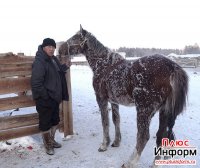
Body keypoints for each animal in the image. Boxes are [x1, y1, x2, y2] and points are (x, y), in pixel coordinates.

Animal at [58, 25, 188, 167]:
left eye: (74, 38)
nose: (60, 50)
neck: (104, 65)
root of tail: (172, 67)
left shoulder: (101, 99)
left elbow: (105, 122)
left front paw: (104, 145)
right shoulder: (114, 101)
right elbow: (116, 120)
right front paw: (116, 142)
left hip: (144, 110)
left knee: (144, 136)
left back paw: (130, 162)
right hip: (164, 111)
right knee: (161, 136)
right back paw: (155, 163)